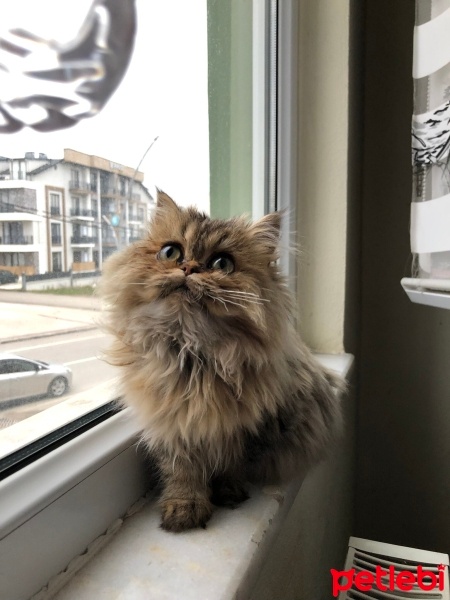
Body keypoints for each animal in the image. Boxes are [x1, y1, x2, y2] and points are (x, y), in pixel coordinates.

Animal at [99, 191, 342, 528]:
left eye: (221, 263)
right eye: (171, 252)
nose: (189, 268)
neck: (193, 356)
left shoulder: (251, 429)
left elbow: (231, 464)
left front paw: (228, 492)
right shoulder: (171, 426)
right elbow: (181, 471)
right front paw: (184, 506)